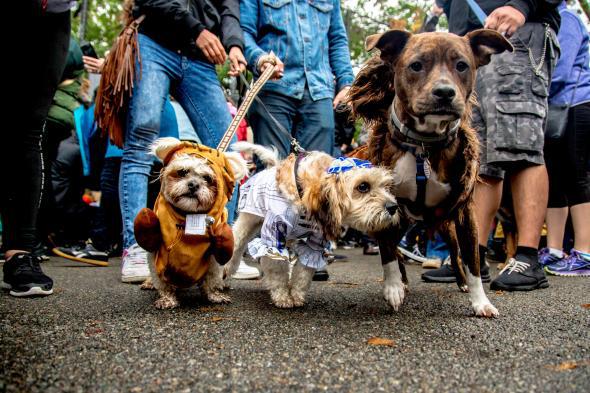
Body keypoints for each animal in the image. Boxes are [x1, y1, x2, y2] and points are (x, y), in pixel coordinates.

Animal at [223, 142, 402, 308]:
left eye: (385, 186)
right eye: (363, 186)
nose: (393, 207)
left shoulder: (315, 243)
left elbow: (304, 271)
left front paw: (296, 294)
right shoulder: (274, 238)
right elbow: (277, 268)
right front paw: (282, 296)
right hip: (248, 221)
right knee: (237, 246)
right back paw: (223, 277)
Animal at [352, 29, 512, 316]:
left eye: (462, 65)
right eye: (416, 65)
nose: (445, 92)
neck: (423, 145)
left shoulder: (465, 214)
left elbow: (472, 261)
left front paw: (481, 301)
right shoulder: (385, 209)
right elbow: (388, 253)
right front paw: (393, 288)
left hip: (446, 226)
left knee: (455, 254)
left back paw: (459, 281)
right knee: (395, 249)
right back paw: (402, 281)